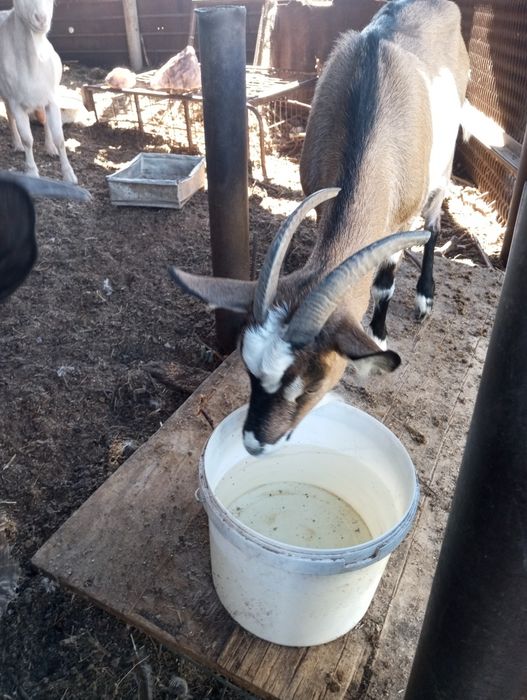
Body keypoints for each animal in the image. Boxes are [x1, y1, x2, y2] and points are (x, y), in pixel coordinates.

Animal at [0, 0, 77, 183]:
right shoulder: (16, 102)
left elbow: (60, 138)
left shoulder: (52, 99)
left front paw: (69, 175)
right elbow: (28, 139)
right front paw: (31, 171)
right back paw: (17, 144)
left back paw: (50, 148)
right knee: (10, 115)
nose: (42, 19)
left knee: (44, 120)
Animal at [169, 0, 469, 456]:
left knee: (434, 225)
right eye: (249, 371)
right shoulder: (316, 197)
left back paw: (424, 298)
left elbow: (384, 284)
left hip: (444, 166)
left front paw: (379, 335)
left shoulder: (398, 222)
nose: (255, 443)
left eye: (309, 384)